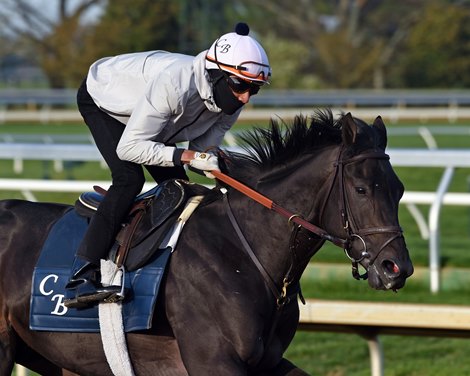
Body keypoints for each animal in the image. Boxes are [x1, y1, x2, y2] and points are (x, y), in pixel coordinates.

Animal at [0, 109, 412, 376]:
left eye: (399, 189)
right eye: (361, 189)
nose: (397, 268)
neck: (245, 251)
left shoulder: (268, 362)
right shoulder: (212, 361)